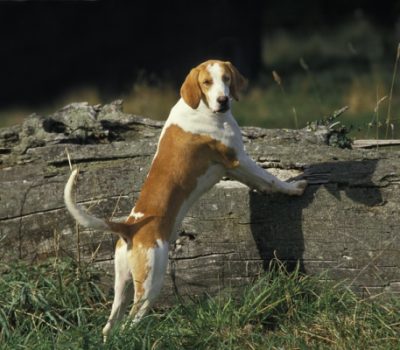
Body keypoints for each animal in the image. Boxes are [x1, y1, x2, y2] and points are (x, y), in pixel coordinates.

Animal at [64, 60, 308, 340]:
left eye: (226, 78)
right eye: (207, 82)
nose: (223, 100)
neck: (202, 108)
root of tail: (130, 227)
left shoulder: (233, 167)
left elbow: (260, 182)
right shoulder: (238, 160)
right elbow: (271, 179)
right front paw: (293, 188)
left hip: (122, 285)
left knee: (110, 325)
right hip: (150, 287)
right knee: (129, 324)